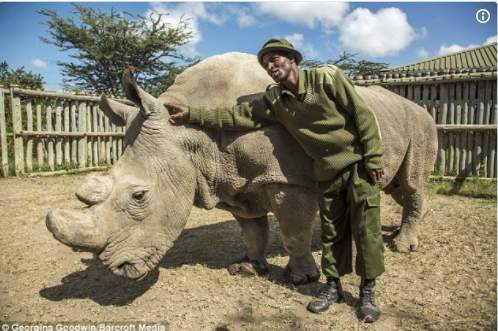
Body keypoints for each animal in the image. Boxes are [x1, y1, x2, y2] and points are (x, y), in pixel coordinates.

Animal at [44, 53, 438, 284]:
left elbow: (293, 231)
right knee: (393, 187)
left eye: (139, 196)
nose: (118, 269)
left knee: (411, 185)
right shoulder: (229, 179)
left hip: (421, 123)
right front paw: (248, 267)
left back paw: (402, 246)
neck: (189, 137)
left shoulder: (290, 181)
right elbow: (252, 230)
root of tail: (419, 106)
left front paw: (300, 279)